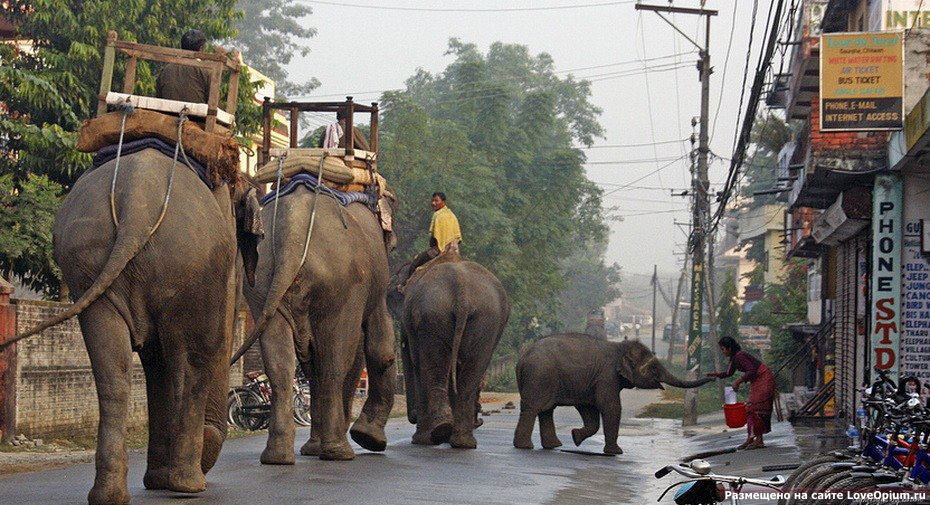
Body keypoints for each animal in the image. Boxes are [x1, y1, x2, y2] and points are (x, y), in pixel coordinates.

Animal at [5, 150, 262, 504]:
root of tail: (135, 203)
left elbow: (154, 360)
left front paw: (157, 480)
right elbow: (193, 350)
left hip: (87, 259)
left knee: (113, 371)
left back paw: (110, 494)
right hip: (189, 265)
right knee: (192, 362)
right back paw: (188, 484)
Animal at [236, 185, 396, 460]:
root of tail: (293, 230)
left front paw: (313, 448)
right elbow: (379, 345)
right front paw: (370, 439)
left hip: (261, 281)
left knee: (280, 361)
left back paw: (278, 456)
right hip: (343, 284)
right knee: (335, 357)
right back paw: (339, 451)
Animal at [388, 258, 512, 446]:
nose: (413, 416)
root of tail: (462, 291)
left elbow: (417, 366)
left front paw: (422, 439)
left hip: (436, 316)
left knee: (436, 368)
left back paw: (441, 433)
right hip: (485, 321)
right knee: (471, 372)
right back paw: (461, 442)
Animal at [516, 332, 712, 454]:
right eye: (654, 369)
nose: (712, 376)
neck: (620, 347)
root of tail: (523, 357)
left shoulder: (592, 381)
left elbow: (589, 410)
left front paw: (575, 436)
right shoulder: (606, 376)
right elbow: (609, 406)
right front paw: (616, 452)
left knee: (546, 410)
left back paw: (553, 446)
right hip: (539, 376)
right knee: (532, 409)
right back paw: (525, 447)